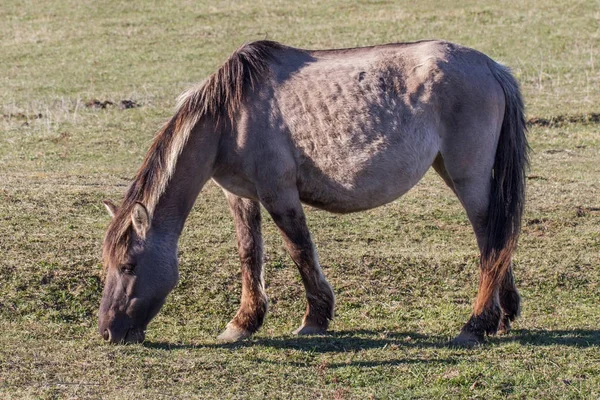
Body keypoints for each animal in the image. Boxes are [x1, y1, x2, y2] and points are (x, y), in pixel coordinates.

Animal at [97, 39, 524, 346]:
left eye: (129, 265)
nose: (108, 331)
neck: (230, 116)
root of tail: (491, 67)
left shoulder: (278, 192)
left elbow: (299, 249)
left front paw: (314, 319)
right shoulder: (241, 195)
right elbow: (249, 254)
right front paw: (243, 323)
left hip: (468, 177)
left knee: (492, 240)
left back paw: (476, 324)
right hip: (453, 172)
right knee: (495, 237)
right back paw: (502, 316)